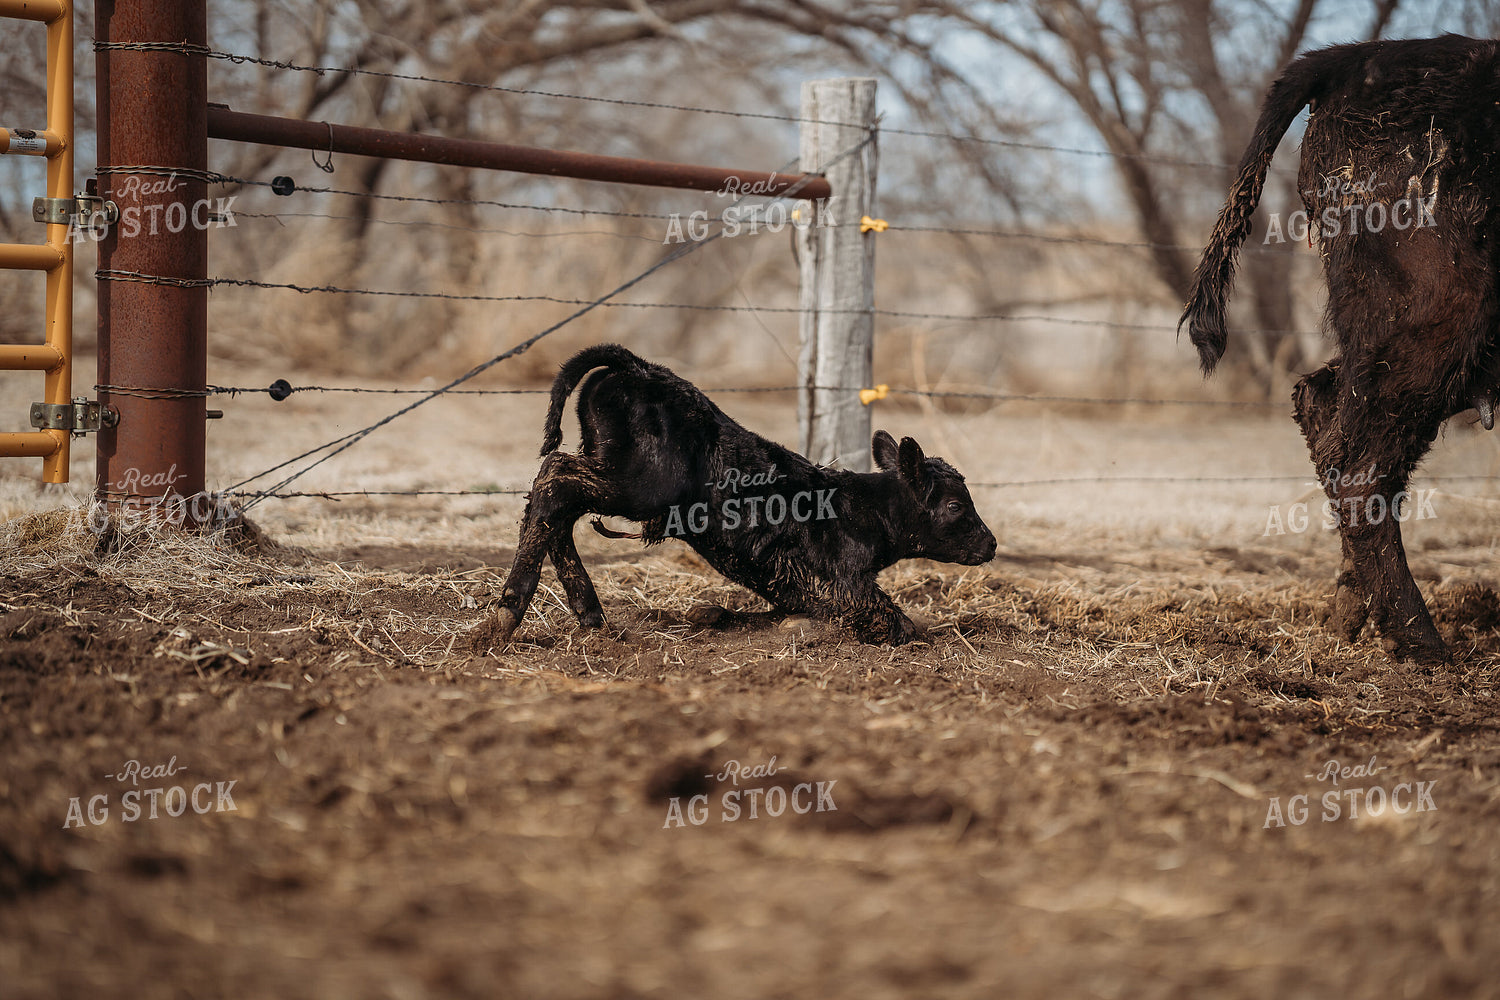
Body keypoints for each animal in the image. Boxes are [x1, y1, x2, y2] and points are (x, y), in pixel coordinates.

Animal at [491, 344, 997, 645]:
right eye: (955, 505)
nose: (991, 543)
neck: (861, 509)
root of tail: (637, 365)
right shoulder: (845, 583)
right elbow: (895, 620)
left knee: (554, 499)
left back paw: (589, 615)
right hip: (640, 485)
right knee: (556, 481)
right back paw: (507, 613)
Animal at [1181, 34, 1500, 664]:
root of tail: (1351, 56)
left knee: (1326, 411)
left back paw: (1352, 615)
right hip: (1435, 334)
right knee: (1361, 469)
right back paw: (1423, 644)